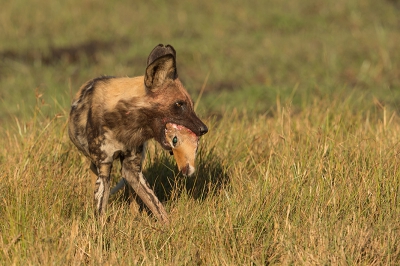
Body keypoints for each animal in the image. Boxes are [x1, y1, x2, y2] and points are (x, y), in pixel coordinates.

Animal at [68, 44, 208, 223]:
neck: (124, 121)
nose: (203, 129)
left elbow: (157, 206)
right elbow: (100, 210)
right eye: (179, 104)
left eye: (190, 104)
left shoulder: (132, 169)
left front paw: (170, 228)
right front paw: (100, 229)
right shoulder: (104, 168)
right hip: (97, 167)